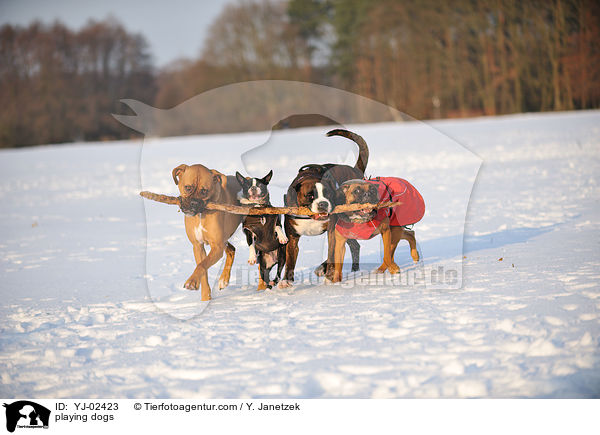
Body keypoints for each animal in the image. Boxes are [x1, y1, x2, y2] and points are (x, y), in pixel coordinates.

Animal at [170, 162, 243, 302]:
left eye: (204, 191)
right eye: (188, 187)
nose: (193, 202)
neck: (200, 214)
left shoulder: (217, 247)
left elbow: (202, 265)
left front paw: (191, 282)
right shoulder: (198, 246)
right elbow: (202, 268)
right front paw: (205, 297)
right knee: (231, 250)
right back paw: (224, 280)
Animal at [278, 127, 368, 288]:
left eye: (329, 194)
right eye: (310, 195)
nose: (323, 204)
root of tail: (355, 170)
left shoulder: (332, 231)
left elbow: (332, 253)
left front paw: (329, 275)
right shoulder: (292, 237)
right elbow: (290, 260)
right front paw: (286, 280)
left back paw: (324, 269)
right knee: (354, 245)